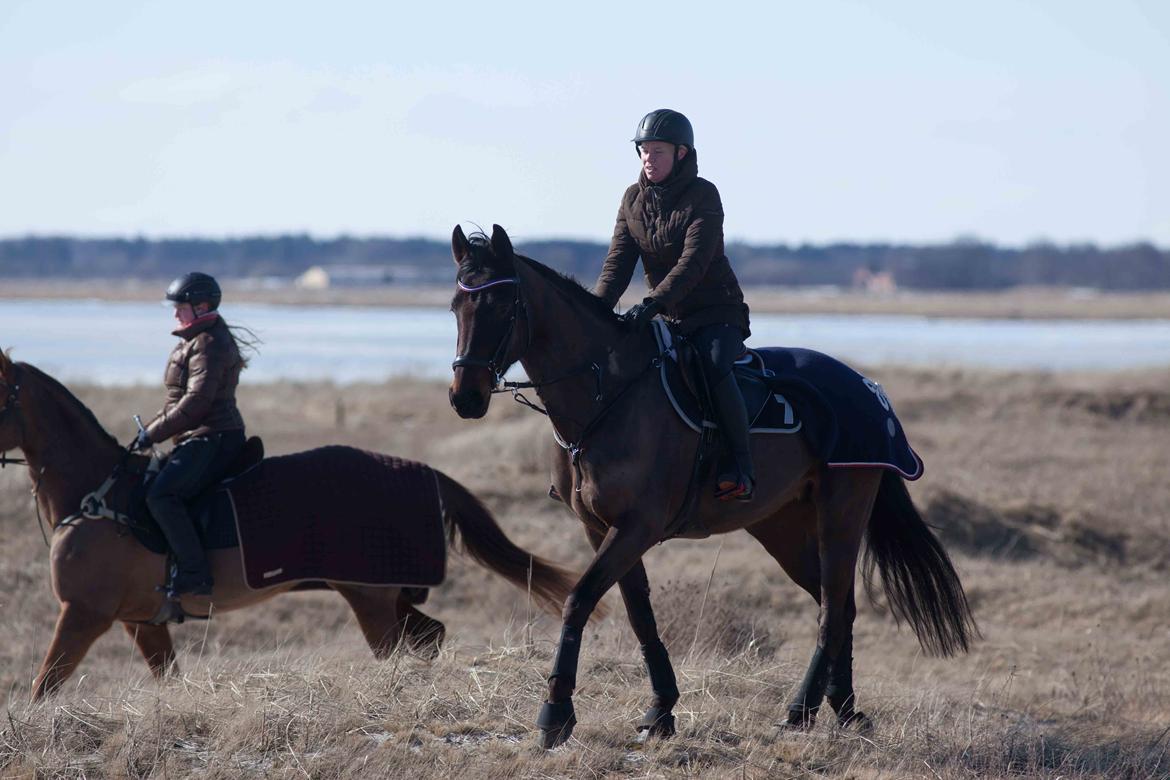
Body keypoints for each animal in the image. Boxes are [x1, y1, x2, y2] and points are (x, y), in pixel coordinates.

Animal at [0, 348, 575, 701]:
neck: (98, 497)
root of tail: (421, 472)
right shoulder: (141, 621)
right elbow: (165, 678)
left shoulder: (83, 615)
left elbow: (44, 687)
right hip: (389, 596)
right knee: (429, 638)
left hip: (371, 597)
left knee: (401, 648)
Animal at [446, 225, 978, 748]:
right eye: (456, 306)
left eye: (501, 306)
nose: (465, 398)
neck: (607, 394)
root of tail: (870, 389)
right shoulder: (600, 528)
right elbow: (638, 613)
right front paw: (660, 711)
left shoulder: (636, 526)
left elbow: (579, 599)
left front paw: (555, 713)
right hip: (782, 527)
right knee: (839, 606)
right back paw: (842, 710)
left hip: (842, 511)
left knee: (833, 610)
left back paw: (801, 711)